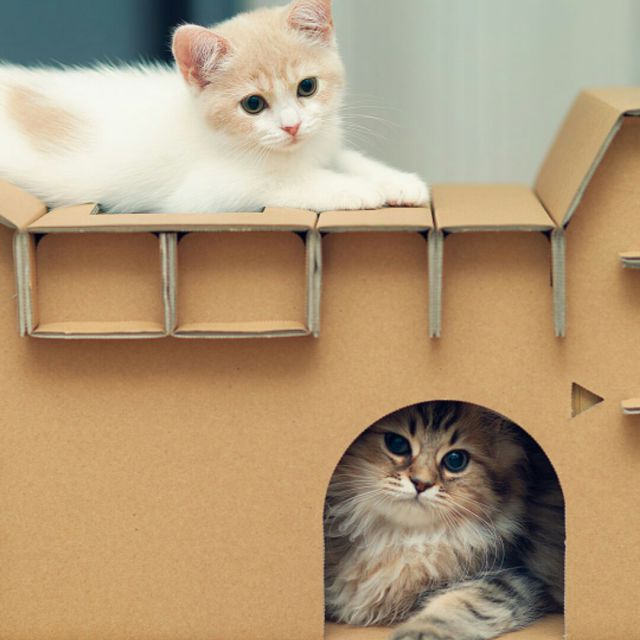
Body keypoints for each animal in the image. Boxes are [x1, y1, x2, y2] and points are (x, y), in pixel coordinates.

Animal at [0, 0, 429, 213]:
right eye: (253, 104)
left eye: (307, 87)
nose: (291, 126)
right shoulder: (202, 192)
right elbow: (284, 181)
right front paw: (356, 189)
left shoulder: (321, 139)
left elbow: (345, 156)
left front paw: (397, 181)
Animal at [325, 401, 564, 640]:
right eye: (397, 444)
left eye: (455, 460)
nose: (421, 483)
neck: (404, 538)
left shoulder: (511, 578)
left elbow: (457, 606)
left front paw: (416, 634)